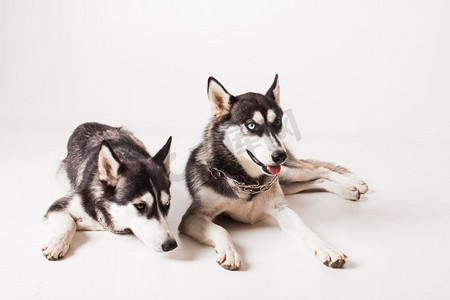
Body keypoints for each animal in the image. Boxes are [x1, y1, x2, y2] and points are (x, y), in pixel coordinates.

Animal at [41, 122, 176, 260]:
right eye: (140, 206)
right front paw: (58, 243)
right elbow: (70, 224)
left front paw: (83, 222)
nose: (171, 245)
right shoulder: (60, 204)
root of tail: (88, 123)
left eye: (167, 203)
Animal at [179, 75, 370, 270]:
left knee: (319, 170)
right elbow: (221, 230)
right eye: (251, 125)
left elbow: (306, 229)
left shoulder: (281, 209)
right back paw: (349, 190)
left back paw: (353, 185)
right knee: (316, 180)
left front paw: (327, 248)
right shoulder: (193, 217)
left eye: (277, 122)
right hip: (287, 183)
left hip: (289, 173)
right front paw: (229, 252)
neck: (246, 179)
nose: (280, 156)